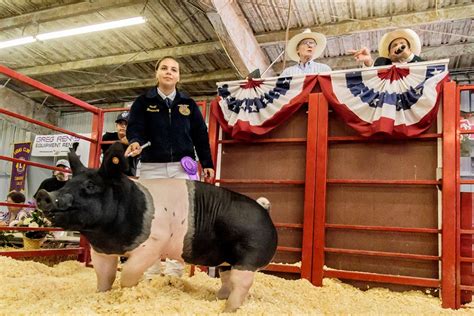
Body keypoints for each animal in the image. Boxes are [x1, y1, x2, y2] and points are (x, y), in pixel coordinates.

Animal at [37, 144, 278, 314]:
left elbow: (128, 274)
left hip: (248, 257)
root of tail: (264, 210)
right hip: (227, 259)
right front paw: (102, 295)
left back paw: (228, 310)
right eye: (67, 183)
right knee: (227, 279)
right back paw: (217, 299)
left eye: (90, 186)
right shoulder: (101, 252)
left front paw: (128, 293)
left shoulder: (152, 245)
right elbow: (105, 277)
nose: (44, 194)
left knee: (241, 284)